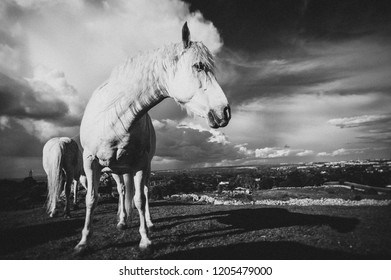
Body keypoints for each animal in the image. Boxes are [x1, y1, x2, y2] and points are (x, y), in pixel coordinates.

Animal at [75, 22, 231, 254]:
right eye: (199, 66)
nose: (225, 112)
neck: (112, 116)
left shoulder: (140, 164)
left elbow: (140, 199)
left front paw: (145, 240)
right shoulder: (90, 162)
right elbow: (91, 199)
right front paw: (84, 241)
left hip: (143, 168)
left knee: (144, 192)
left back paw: (147, 223)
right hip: (115, 170)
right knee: (122, 190)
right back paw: (122, 220)